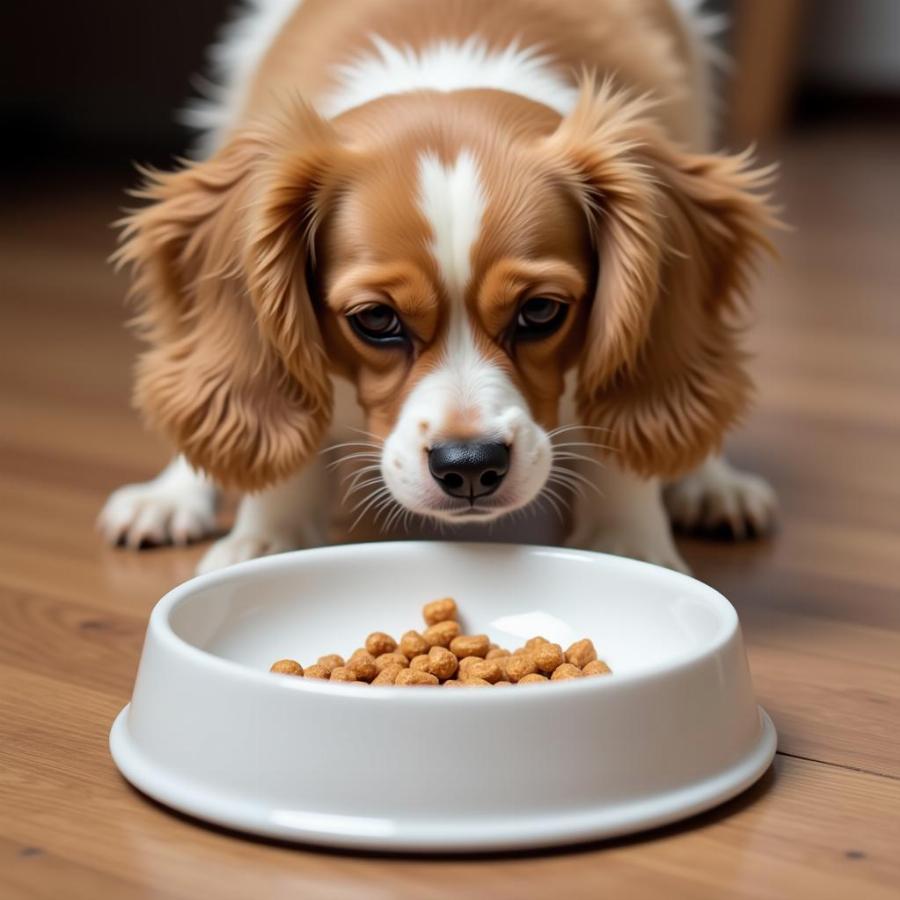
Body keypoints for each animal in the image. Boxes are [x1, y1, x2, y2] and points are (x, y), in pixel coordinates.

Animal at [100, 0, 780, 572]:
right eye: (376, 319)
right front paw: (269, 540)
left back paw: (712, 483)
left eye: (541, 310)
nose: (471, 467)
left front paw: (630, 545)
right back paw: (169, 495)